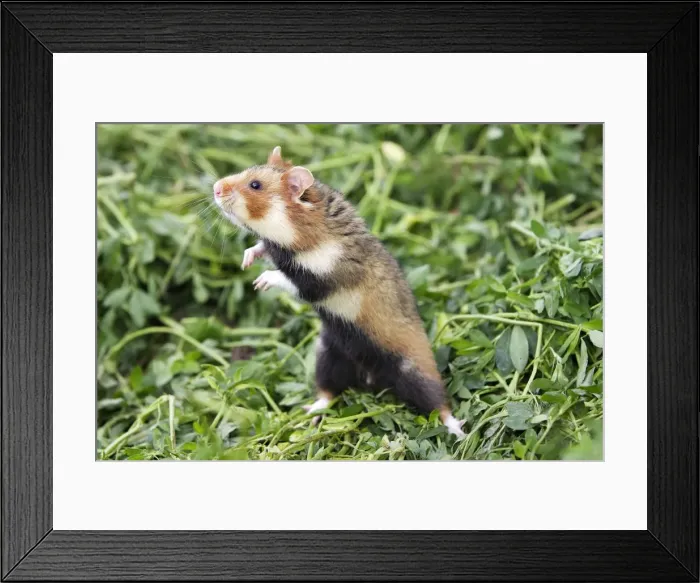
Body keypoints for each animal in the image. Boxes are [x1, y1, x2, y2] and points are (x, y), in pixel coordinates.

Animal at [213, 146, 465, 438]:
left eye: (255, 185)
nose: (215, 188)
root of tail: (370, 379)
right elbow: (262, 247)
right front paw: (247, 258)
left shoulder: (322, 279)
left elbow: (289, 279)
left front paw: (262, 281)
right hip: (328, 355)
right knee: (328, 391)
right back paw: (310, 413)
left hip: (414, 371)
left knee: (439, 403)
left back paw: (459, 430)